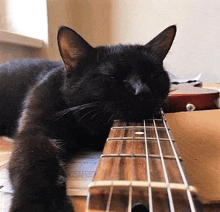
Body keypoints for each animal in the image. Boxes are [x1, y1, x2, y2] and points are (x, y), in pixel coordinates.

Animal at [0, 25, 176, 212]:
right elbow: (36, 162)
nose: (143, 91)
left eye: (153, 75)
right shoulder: (37, 132)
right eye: (112, 75)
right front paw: (39, 204)